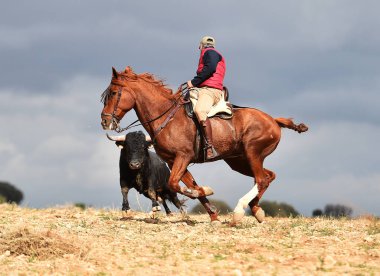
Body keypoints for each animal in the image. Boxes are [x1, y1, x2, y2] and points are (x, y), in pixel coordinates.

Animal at [101, 66, 308, 224]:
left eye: (113, 93)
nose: (104, 121)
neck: (166, 116)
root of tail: (273, 120)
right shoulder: (174, 161)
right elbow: (190, 186)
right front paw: (213, 214)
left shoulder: (183, 157)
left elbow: (175, 184)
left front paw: (204, 192)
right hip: (238, 161)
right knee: (267, 176)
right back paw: (256, 210)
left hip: (252, 153)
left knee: (261, 179)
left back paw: (240, 210)